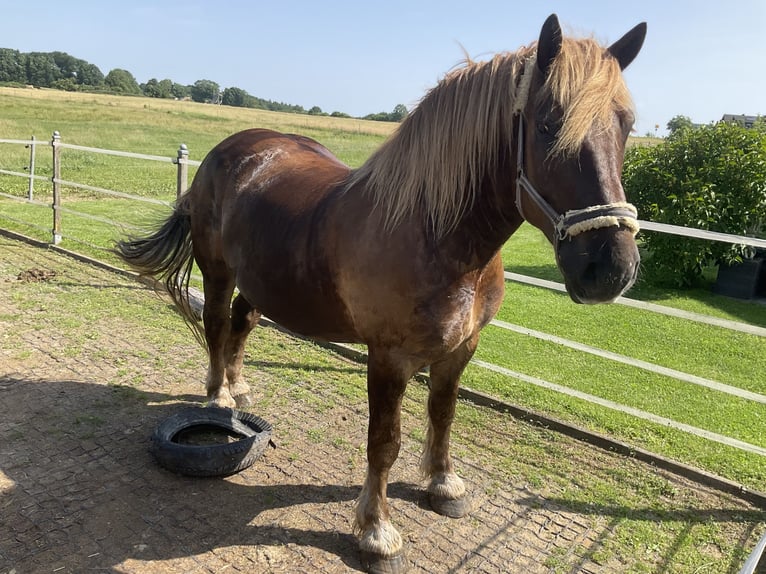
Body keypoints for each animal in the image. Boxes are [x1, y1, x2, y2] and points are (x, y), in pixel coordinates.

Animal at [116, 14, 646, 573]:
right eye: (547, 125)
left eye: (626, 124)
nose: (611, 267)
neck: (436, 235)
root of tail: (232, 148)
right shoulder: (389, 359)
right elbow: (384, 443)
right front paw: (377, 533)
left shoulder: (462, 348)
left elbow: (443, 415)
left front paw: (443, 486)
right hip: (217, 271)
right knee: (217, 324)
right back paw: (218, 397)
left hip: (259, 280)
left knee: (242, 322)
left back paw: (238, 390)